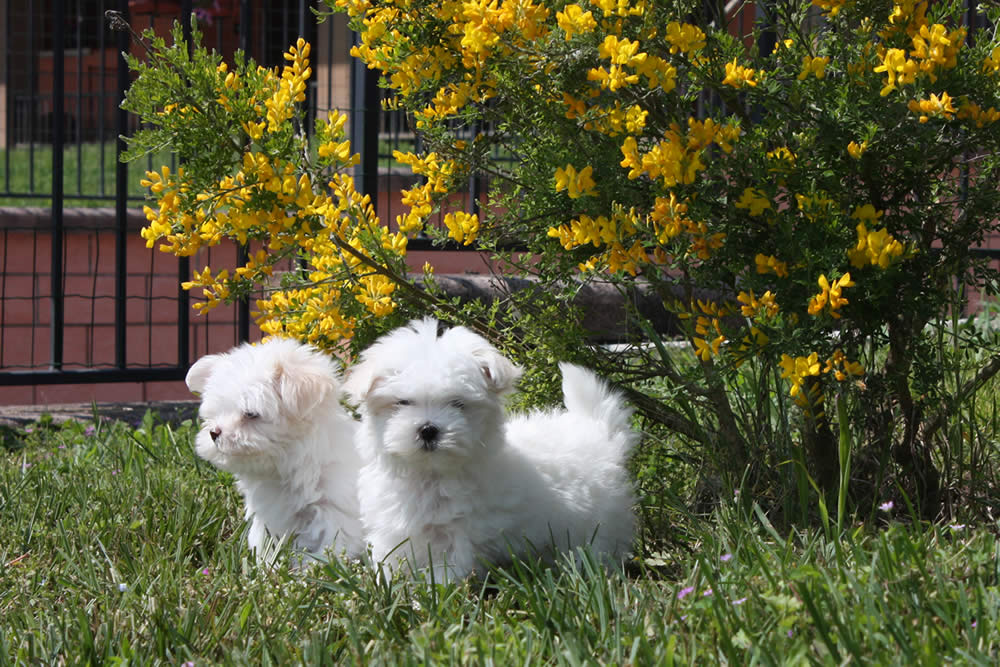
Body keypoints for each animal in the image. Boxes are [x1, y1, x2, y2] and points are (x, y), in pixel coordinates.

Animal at [186, 340, 366, 564]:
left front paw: (311, 569)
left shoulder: (335, 512)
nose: (214, 433)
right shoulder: (271, 514)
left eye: (250, 414)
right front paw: (265, 566)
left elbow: (328, 549)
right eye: (216, 413)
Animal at [348, 318, 636, 580]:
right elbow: (390, 563)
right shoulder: (392, 531)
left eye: (457, 403)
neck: (430, 475)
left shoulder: (462, 533)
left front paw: (434, 593)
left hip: (598, 524)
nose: (429, 429)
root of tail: (598, 430)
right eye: (402, 402)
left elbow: (447, 573)